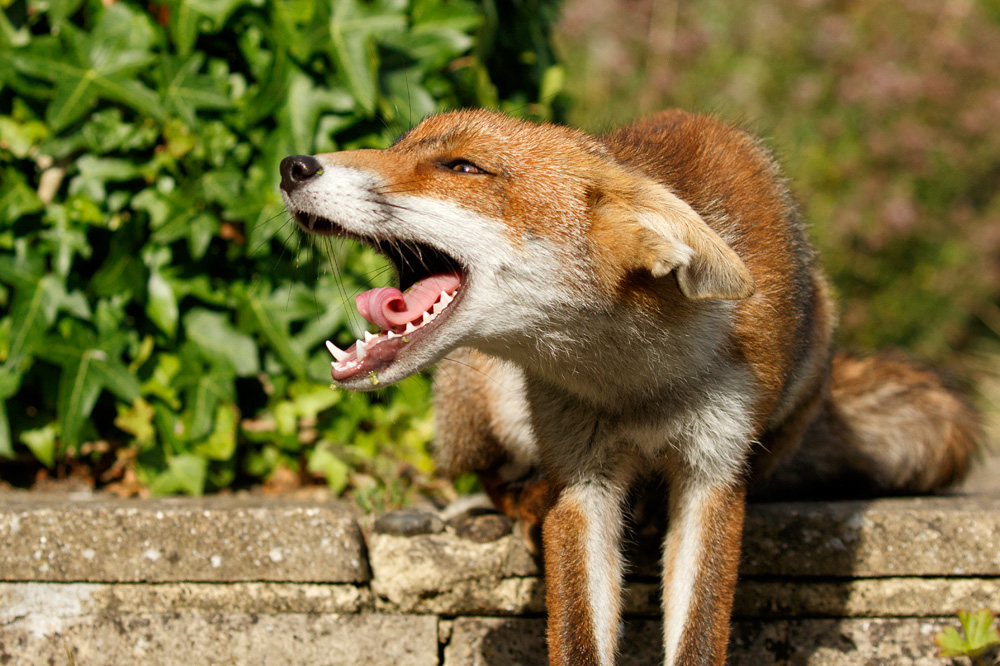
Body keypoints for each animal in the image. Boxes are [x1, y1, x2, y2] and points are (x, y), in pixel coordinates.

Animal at [278, 109, 979, 666]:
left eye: (463, 167)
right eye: (399, 146)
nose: (291, 164)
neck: (635, 384)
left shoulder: (713, 472)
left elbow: (697, 634)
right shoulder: (581, 475)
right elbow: (580, 635)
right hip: (483, 411)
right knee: (493, 480)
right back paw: (529, 502)